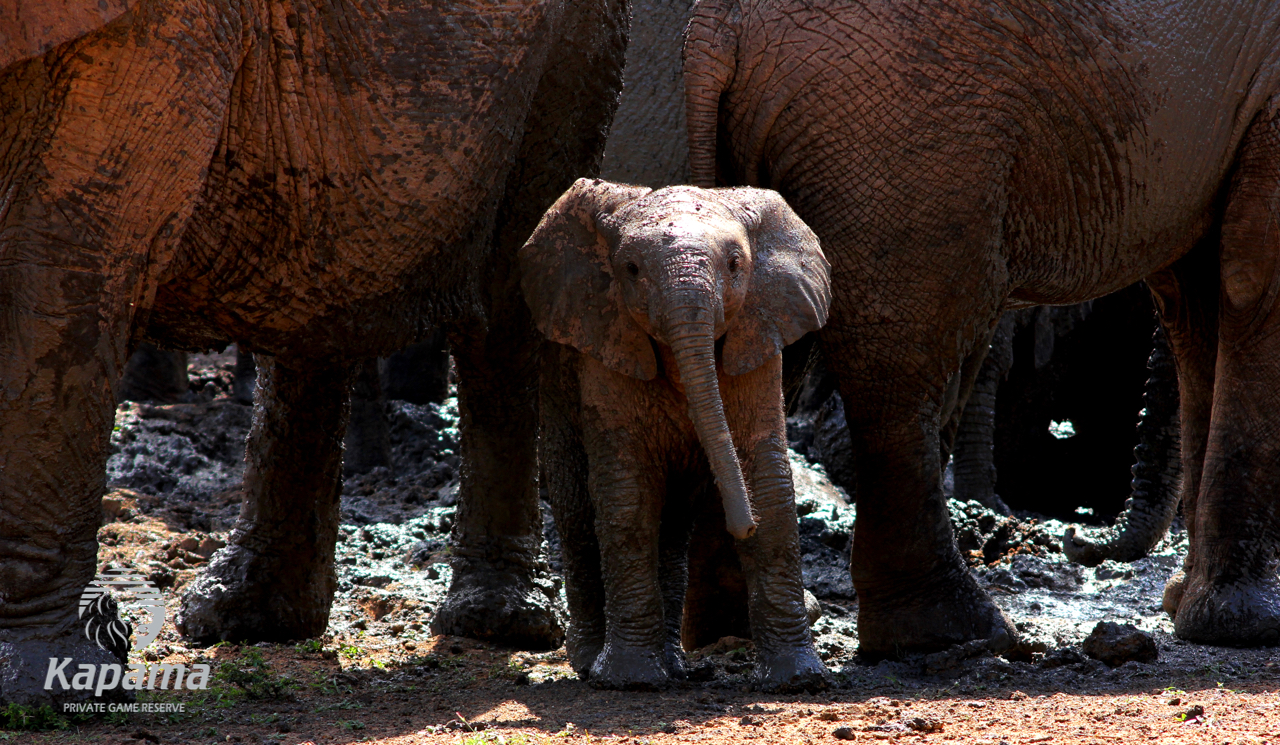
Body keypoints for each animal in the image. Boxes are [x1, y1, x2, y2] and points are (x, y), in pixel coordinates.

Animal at [0, 0, 629, 705]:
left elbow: (59, 266)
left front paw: (39, 688)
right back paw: (245, 619)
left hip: (572, 52)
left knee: (503, 307)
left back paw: (492, 624)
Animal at [522, 178, 831, 691]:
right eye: (630, 270)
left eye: (735, 264)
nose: (740, 523)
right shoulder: (608, 341)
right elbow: (626, 496)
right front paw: (630, 682)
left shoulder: (755, 332)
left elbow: (768, 481)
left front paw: (798, 682)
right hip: (555, 381)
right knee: (578, 511)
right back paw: (590, 664)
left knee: (673, 526)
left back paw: (677, 667)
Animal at [686, 0, 1280, 652]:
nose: (1076, 540)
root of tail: (716, 24)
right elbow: (1253, 276)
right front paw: (1247, 626)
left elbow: (1201, 301)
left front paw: (1193, 607)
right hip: (905, 128)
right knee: (899, 361)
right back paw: (954, 632)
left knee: (768, 349)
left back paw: (732, 630)